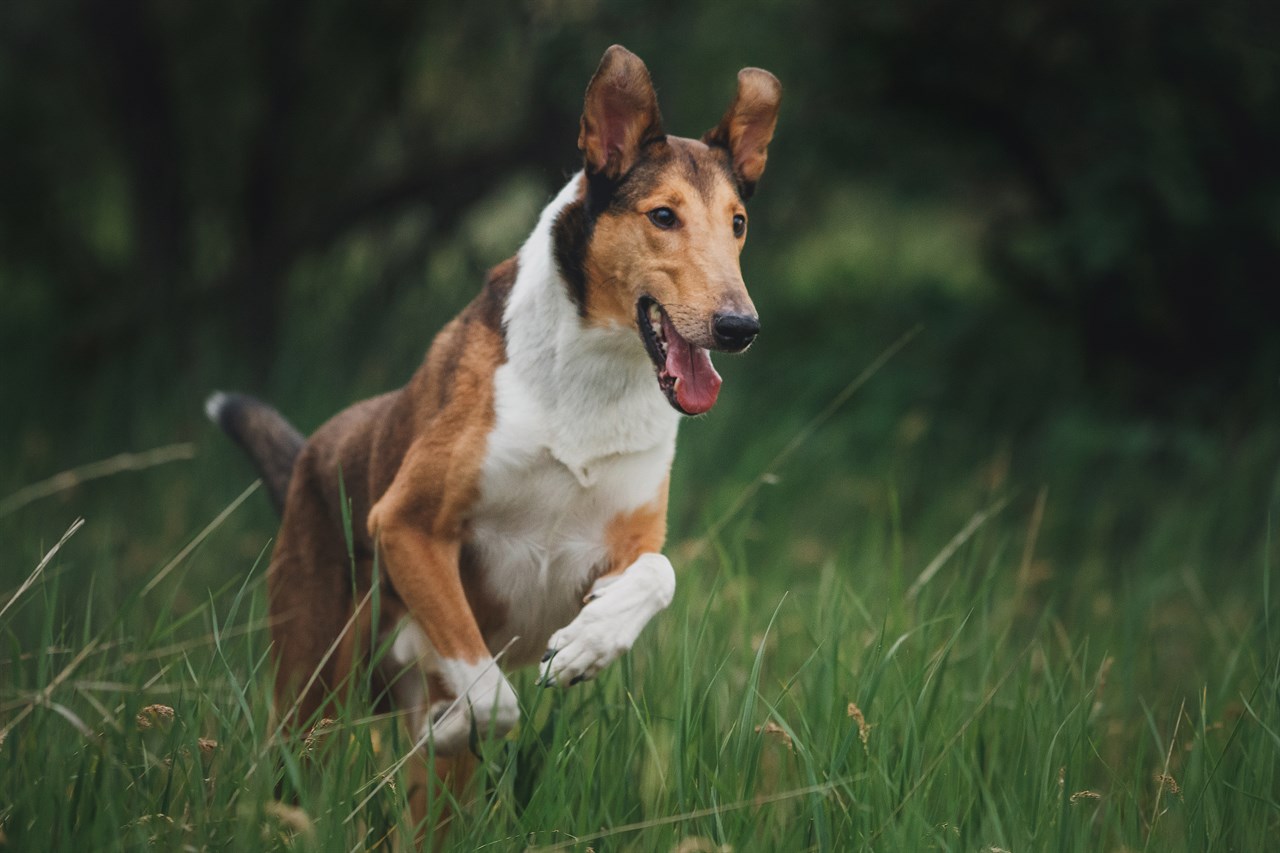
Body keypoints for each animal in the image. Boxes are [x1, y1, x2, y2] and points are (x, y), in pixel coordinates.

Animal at [209, 41, 778, 809]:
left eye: (738, 222)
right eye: (663, 216)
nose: (740, 328)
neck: (593, 380)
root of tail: (309, 454)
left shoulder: (620, 546)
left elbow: (659, 574)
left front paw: (589, 644)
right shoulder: (409, 526)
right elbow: (493, 699)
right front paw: (455, 720)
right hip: (310, 692)